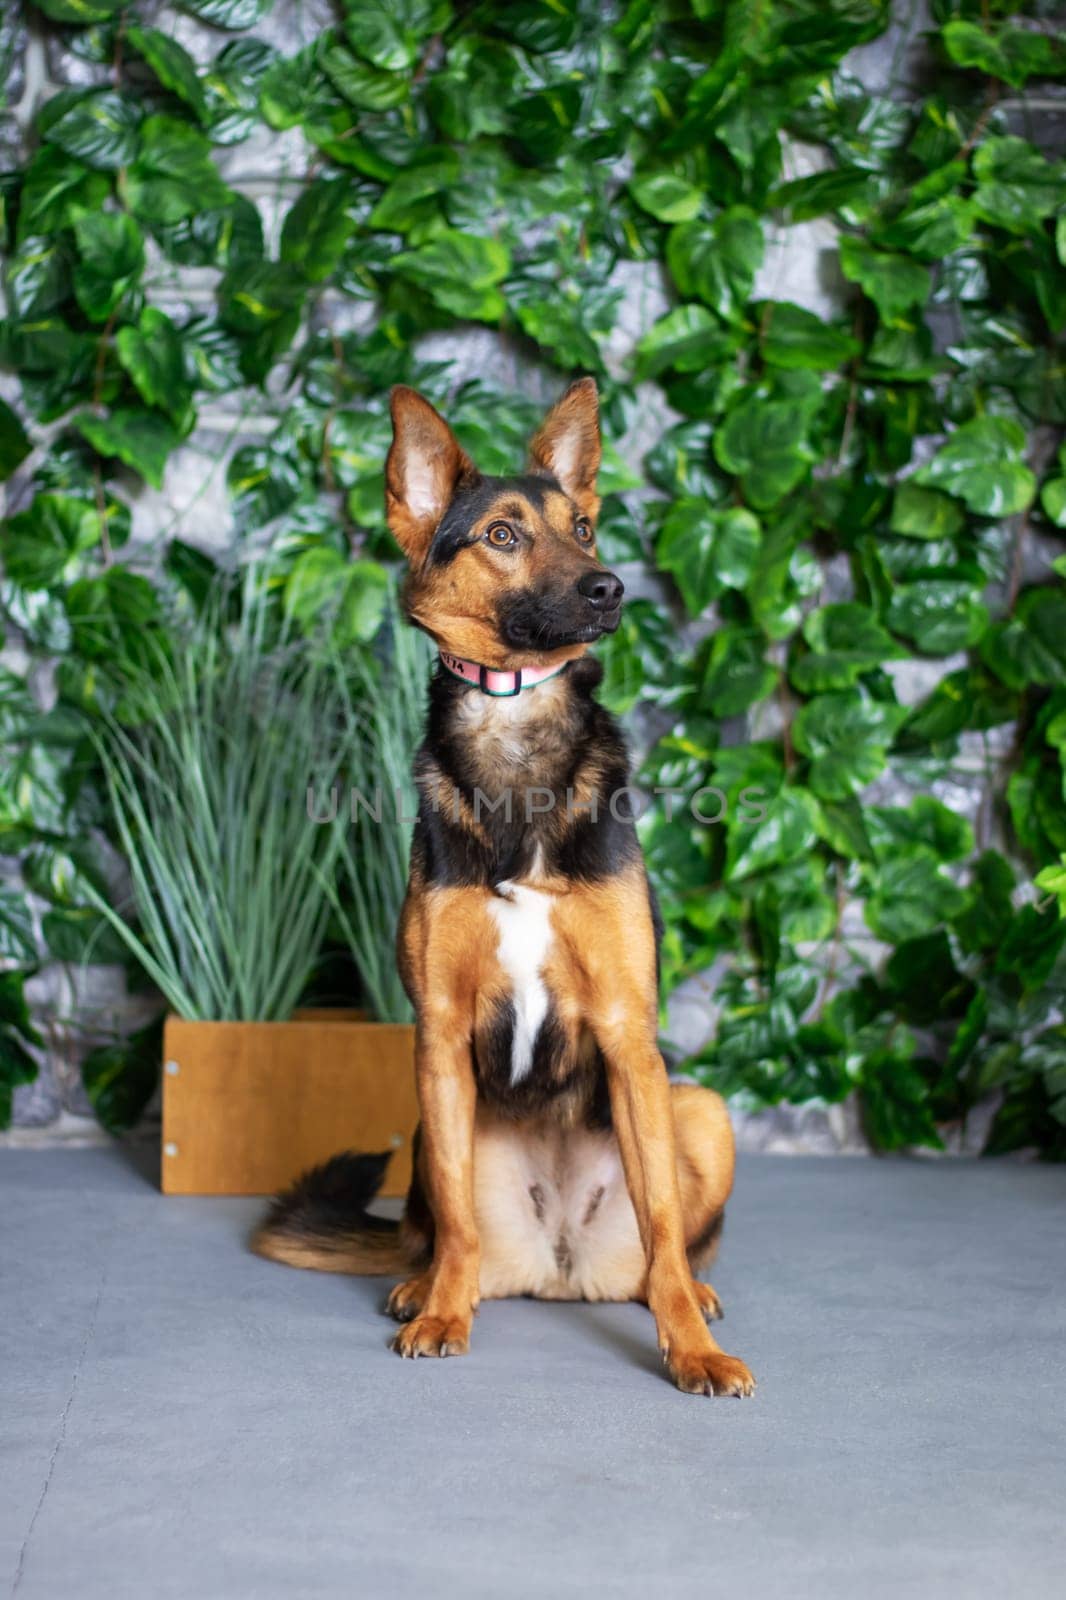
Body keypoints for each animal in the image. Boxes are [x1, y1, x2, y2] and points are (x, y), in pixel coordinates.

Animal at [254, 380, 755, 1395]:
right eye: (503, 535)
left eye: (586, 527)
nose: (609, 588)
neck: (514, 724)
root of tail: (562, 1270)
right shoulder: (439, 1039)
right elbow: (452, 1215)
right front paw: (443, 1314)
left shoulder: (628, 1037)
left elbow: (666, 1233)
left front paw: (691, 1348)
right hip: (425, 1123)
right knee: (443, 1229)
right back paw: (428, 1285)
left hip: (699, 1109)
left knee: (669, 1244)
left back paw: (690, 1295)